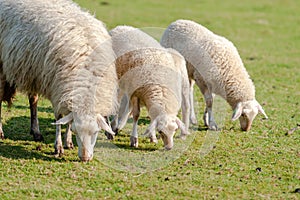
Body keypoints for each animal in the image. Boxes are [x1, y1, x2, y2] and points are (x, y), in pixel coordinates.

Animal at [0, 0, 118, 162]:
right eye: (76, 132)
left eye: (95, 132)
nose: (84, 158)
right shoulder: (57, 88)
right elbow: (59, 117)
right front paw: (58, 147)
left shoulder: (66, 91)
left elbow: (67, 119)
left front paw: (68, 142)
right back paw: (1, 132)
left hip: (33, 71)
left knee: (33, 100)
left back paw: (36, 132)